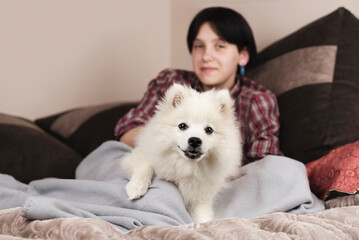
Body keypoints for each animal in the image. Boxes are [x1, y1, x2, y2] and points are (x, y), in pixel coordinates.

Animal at [122, 83, 243, 223]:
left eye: (209, 130)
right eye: (182, 126)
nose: (195, 140)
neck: (186, 166)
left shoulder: (200, 198)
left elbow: (203, 219)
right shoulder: (140, 154)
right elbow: (145, 166)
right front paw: (136, 187)